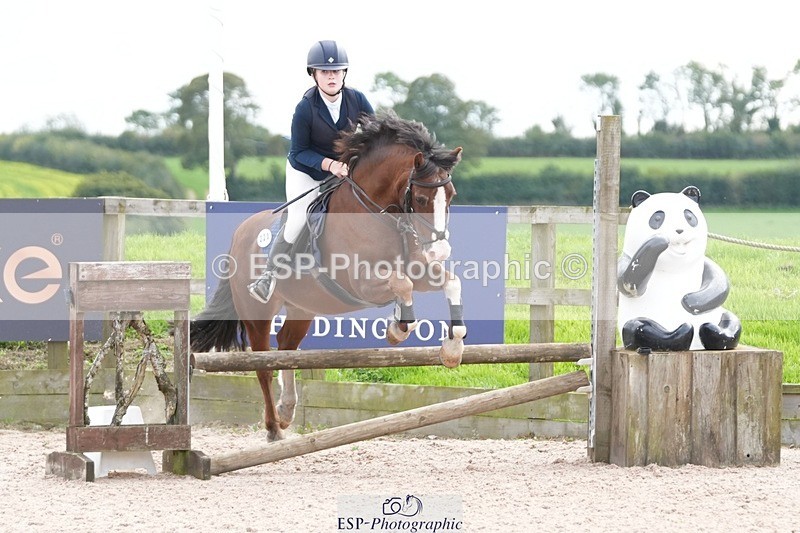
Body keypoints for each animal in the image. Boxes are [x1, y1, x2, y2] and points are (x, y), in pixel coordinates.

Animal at [190, 112, 466, 441]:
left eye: (450, 196)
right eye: (422, 199)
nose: (440, 251)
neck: (379, 213)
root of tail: (239, 234)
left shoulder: (419, 269)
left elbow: (448, 282)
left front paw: (452, 348)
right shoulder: (361, 282)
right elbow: (402, 283)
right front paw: (397, 330)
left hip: (302, 307)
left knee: (286, 347)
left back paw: (286, 410)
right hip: (257, 312)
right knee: (263, 365)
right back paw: (273, 429)